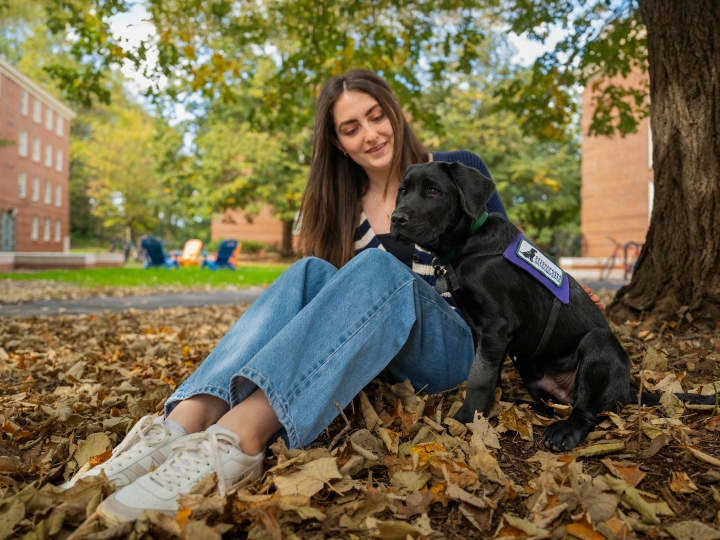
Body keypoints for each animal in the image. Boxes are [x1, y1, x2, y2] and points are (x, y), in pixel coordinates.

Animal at [390, 161, 712, 452]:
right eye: (402, 191)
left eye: (433, 190)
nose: (396, 218)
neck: (467, 245)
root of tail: (628, 389)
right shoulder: (482, 331)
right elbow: (488, 373)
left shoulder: (495, 327)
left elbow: (479, 376)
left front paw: (467, 417)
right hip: (528, 365)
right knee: (553, 403)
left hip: (599, 345)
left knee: (588, 411)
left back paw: (565, 430)